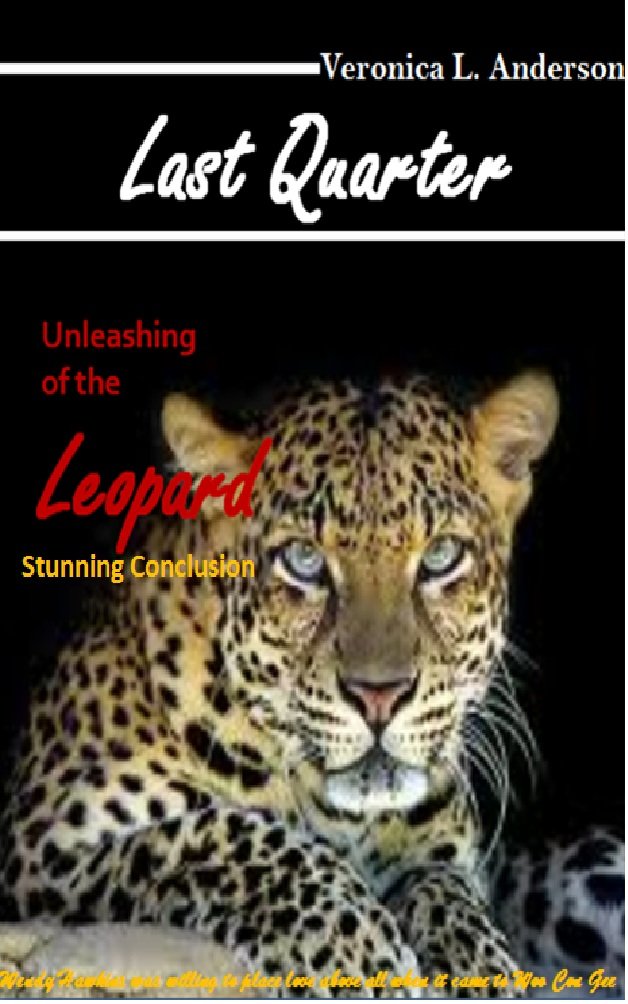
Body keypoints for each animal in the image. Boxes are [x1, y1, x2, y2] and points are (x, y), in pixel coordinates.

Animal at [0, 371, 622, 998]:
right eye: (302, 559)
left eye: (442, 556)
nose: (380, 697)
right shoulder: (46, 839)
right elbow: (224, 838)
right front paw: (363, 957)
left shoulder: (449, 852)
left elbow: (445, 889)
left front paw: (477, 968)